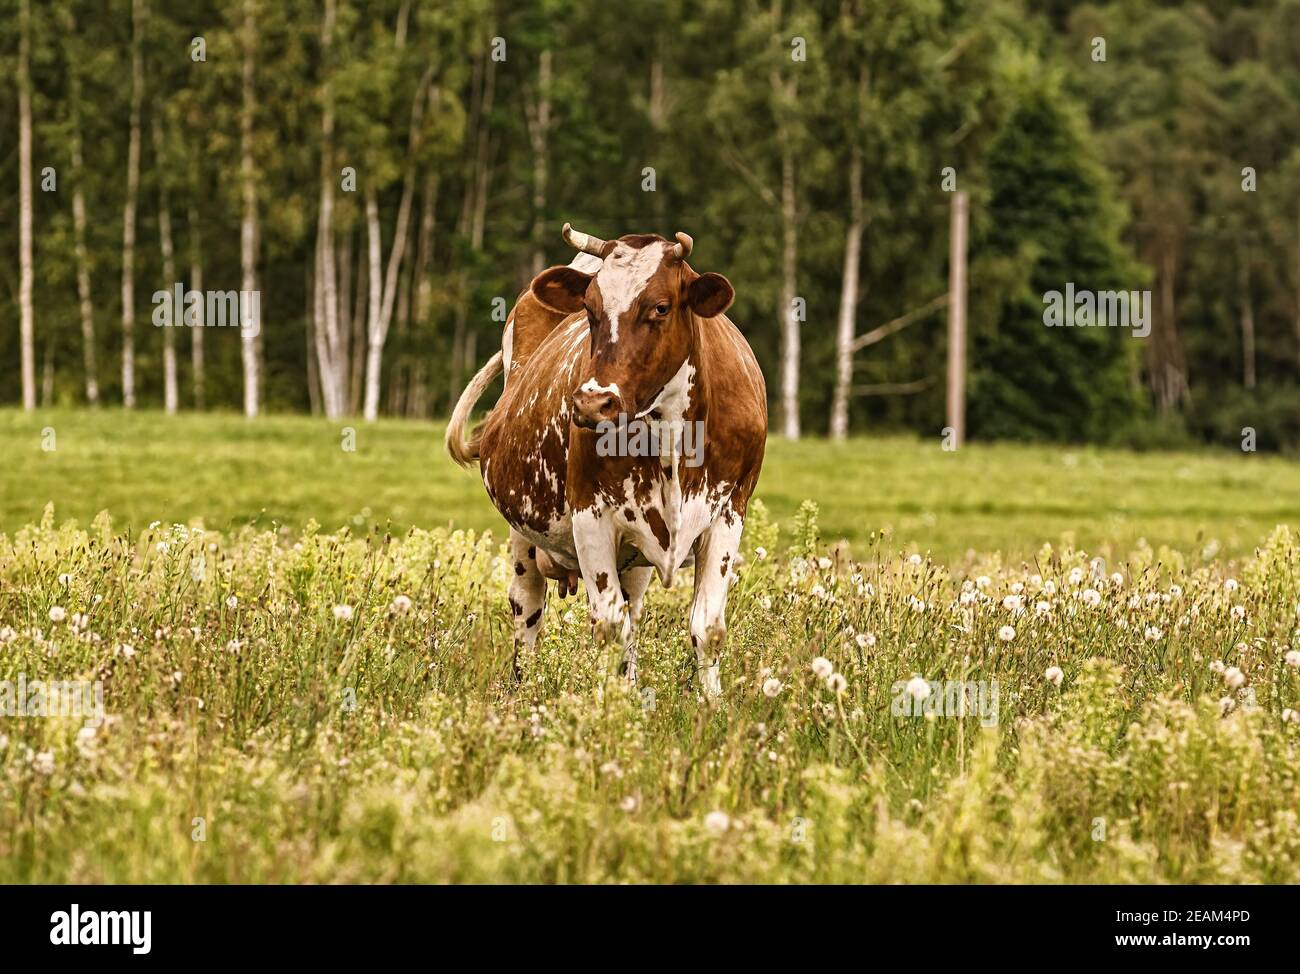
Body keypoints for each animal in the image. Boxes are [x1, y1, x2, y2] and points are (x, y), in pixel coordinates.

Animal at [449, 223, 764, 697]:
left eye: (660, 307)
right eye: (590, 309)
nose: (593, 402)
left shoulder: (729, 512)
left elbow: (706, 628)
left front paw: (711, 705)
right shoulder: (590, 515)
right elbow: (608, 626)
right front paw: (607, 707)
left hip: (633, 556)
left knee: (631, 610)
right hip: (523, 529)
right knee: (528, 607)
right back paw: (523, 690)